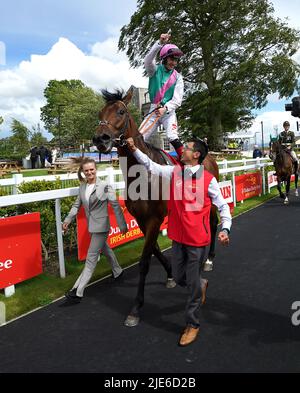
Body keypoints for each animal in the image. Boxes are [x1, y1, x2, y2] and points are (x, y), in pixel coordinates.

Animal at [92, 87, 219, 326]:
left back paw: (208, 258)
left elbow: (145, 261)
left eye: (121, 111)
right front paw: (171, 275)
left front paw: (135, 308)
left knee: (214, 223)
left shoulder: (155, 218)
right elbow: (155, 250)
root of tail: (209, 157)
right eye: (100, 112)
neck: (142, 173)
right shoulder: (142, 219)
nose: (100, 138)